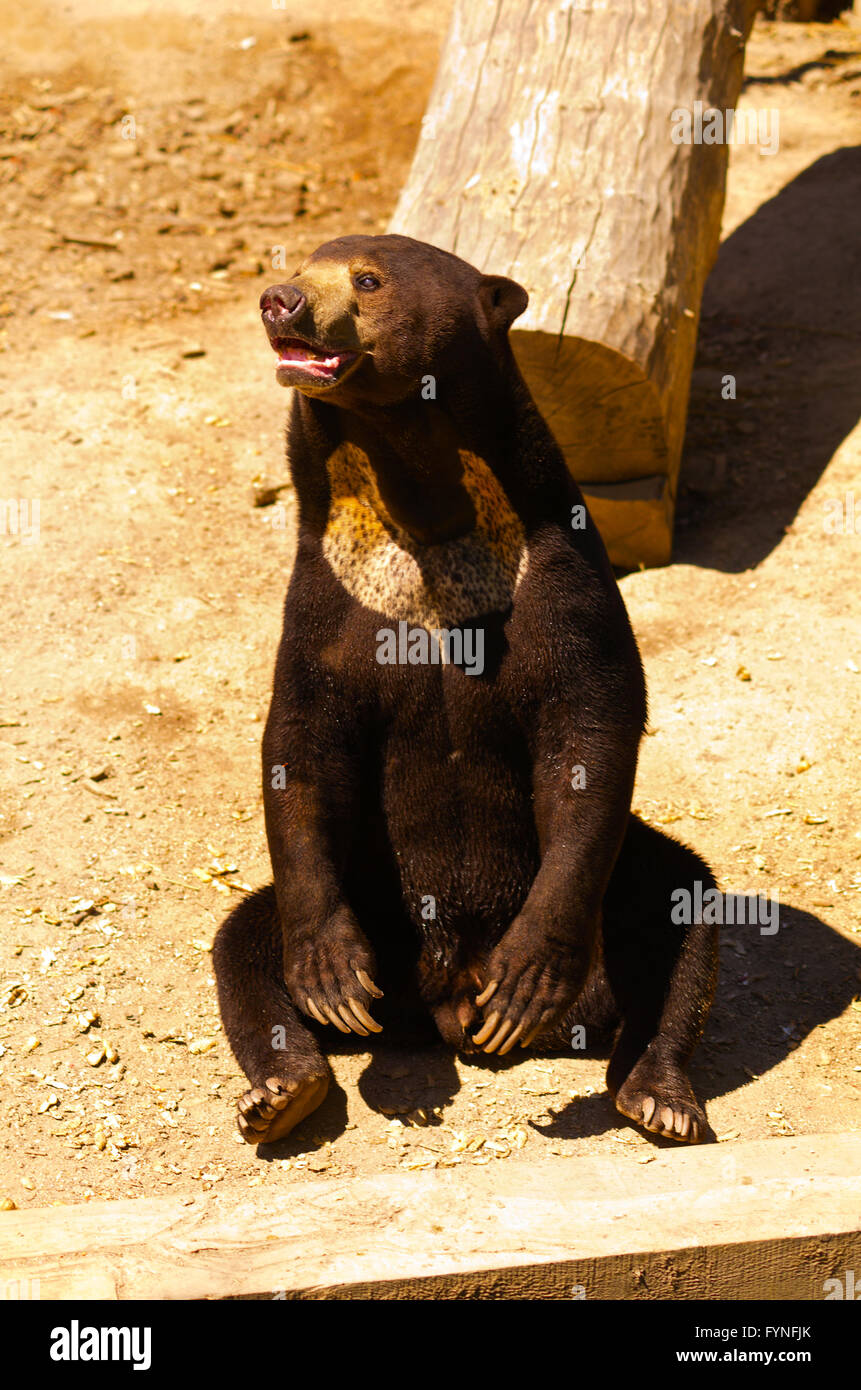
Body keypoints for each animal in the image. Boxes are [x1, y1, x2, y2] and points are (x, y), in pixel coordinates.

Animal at [212, 234, 719, 1148]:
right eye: (297, 267)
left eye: (366, 280)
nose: (279, 302)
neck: (421, 498)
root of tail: (444, 1006)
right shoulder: (326, 595)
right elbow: (300, 741)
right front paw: (333, 980)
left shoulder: (558, 575)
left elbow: (589, 729)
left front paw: (523, 983)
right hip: (374, 898)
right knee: (243, 943)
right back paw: (285, 1090)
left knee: (681, 900)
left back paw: (652, 1095)